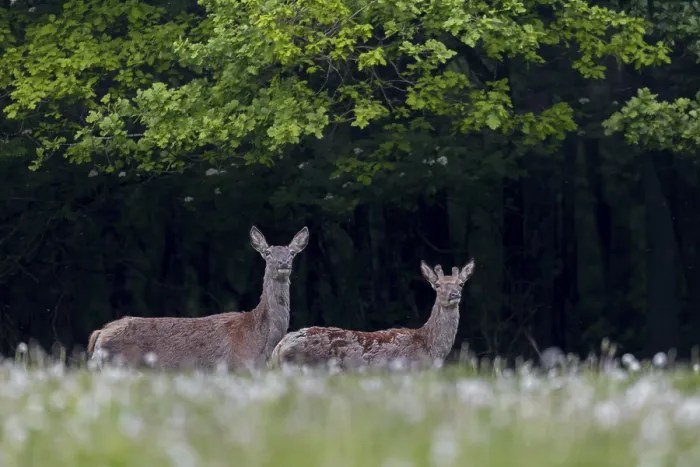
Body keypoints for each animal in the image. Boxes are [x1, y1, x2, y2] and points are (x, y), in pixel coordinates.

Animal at [87, 226, 309, 371]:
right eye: (267, 252)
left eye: (291, 253)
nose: (283, 263)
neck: (262, 341)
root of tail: (100, 334)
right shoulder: (236, 367)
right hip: (120, 365)